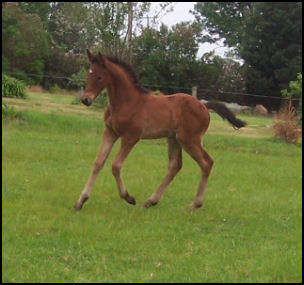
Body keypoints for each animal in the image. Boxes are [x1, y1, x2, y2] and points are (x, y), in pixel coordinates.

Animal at [74, 50, 247, 210]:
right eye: (89, 74)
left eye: (99, 77)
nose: (86, 99)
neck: (127, 102)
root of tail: (204, 106)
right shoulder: (110, 133)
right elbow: (98, 163)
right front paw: (80, 201)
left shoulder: (131, 137)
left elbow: (115, 166)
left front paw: (128, 197)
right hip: (174, 138)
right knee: (175, 165)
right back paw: (151, 201)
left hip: (189, 139)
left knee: (206, 163)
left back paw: (195, 204)